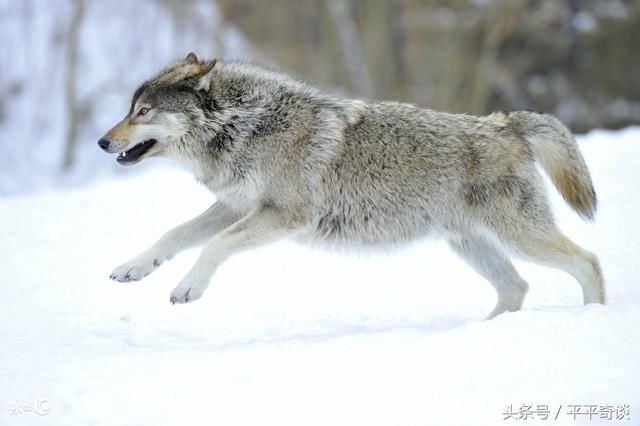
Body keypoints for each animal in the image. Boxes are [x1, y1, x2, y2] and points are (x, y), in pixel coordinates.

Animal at [97, 53, 604, 318]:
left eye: (142, 112)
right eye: (130, 109)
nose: (102, 142)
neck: (246, 126)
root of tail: (506, 122)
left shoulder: (281, 215)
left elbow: (213, 246)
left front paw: (189, 288)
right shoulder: (235, 207)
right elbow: (175, 234)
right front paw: (134, 268)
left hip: (518, 237)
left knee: (588, 262)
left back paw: (594, 317)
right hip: (469, 244)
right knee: (515, 288)